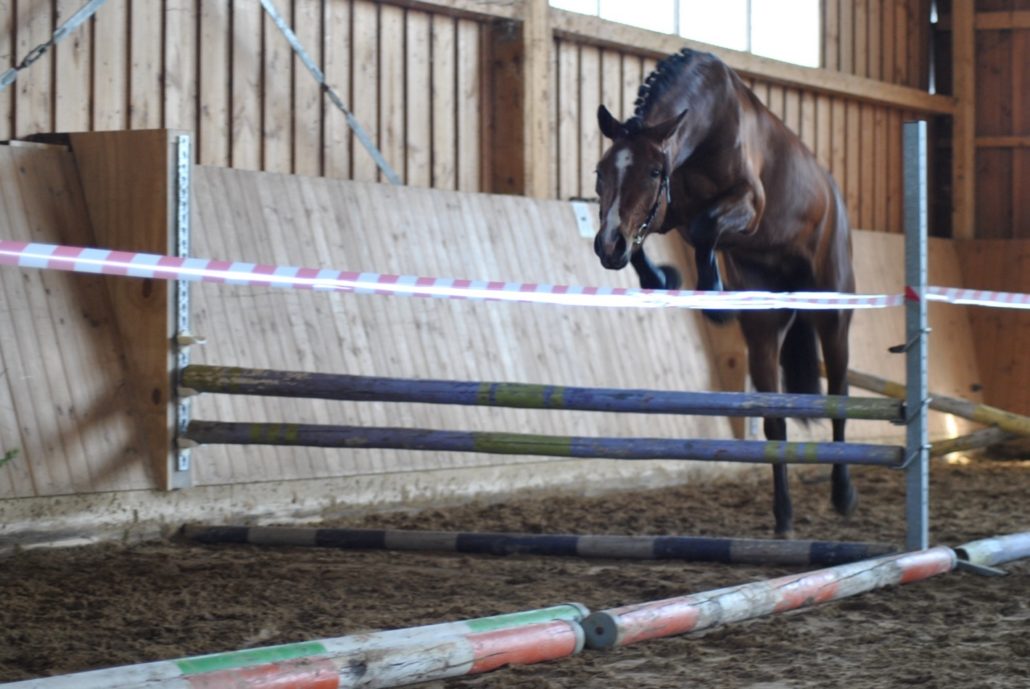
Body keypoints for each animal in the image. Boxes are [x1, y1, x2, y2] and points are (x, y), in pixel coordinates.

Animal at [593, 50, 856, 539]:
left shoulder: (747, 204)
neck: (709, 124)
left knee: (839, 396)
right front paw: (664, 278)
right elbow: (653, 240)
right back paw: (783, 516)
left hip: (833, 314)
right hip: (766, 332)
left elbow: (704, 229)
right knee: (774, 422)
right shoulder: (669, 209)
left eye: (653, 170)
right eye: (601, 171)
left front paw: (712, 295)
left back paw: (843, 494)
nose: (605, 246)